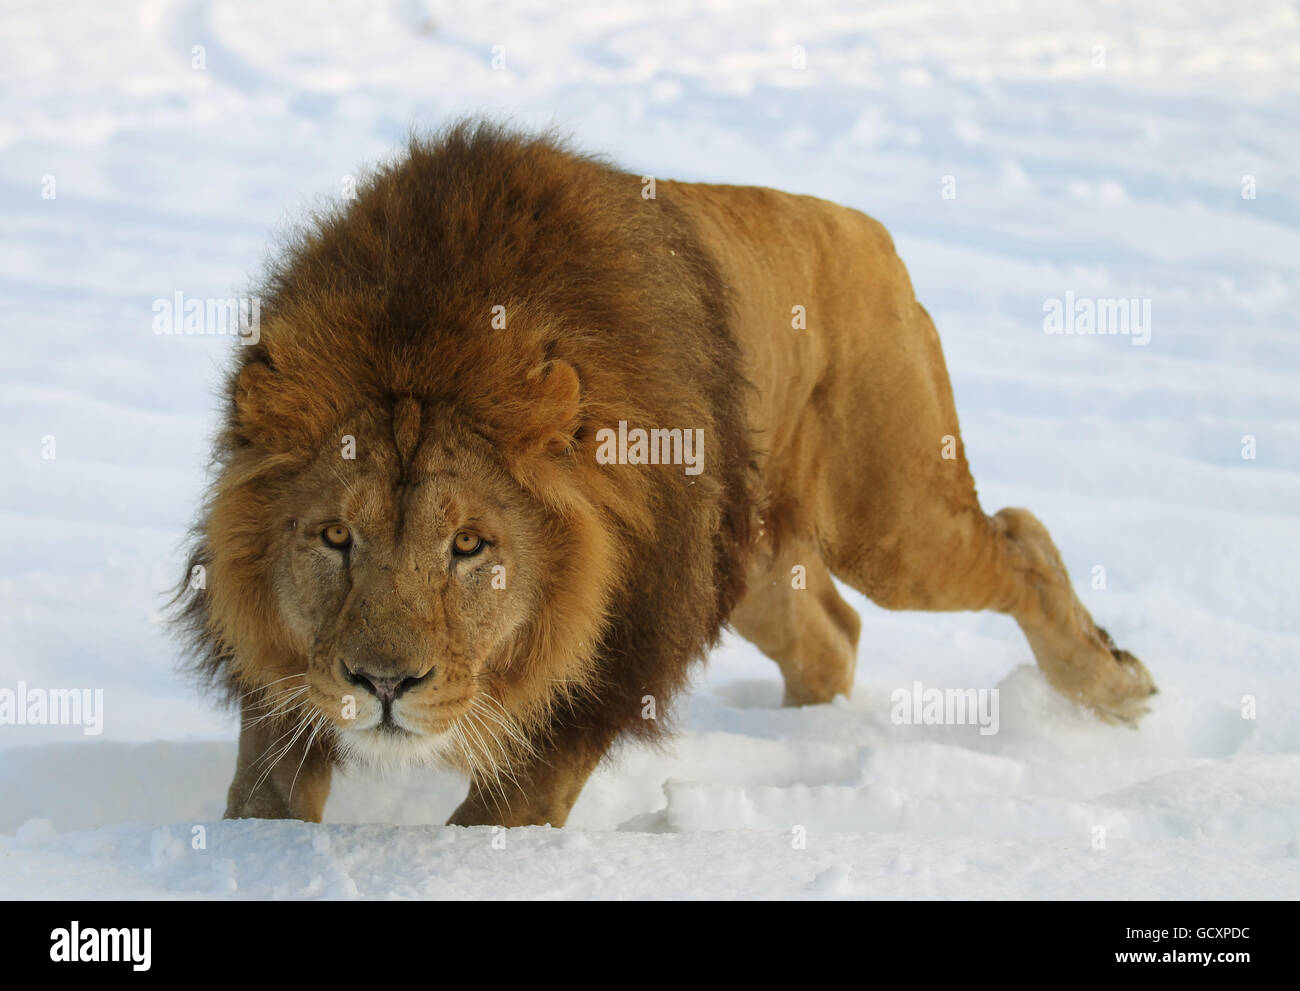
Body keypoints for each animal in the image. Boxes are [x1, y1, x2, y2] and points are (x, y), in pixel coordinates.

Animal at [175, 117, 1159, 827]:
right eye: (335, 535)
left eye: (470, 546)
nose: (383, 685)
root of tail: (862, 226)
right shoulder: (284, 667)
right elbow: (263, 798)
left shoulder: (616, 655)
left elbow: (503, 814)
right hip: (753, 560)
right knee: (833, 633)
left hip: (893, 523)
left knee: (1021, 539)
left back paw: (1114, 686)